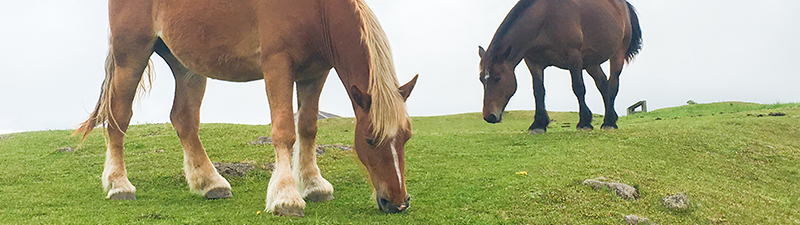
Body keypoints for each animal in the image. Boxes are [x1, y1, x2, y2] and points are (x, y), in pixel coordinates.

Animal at [75, 0, 418, 217]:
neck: (317, 10)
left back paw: (210, 183)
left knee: (184, 119)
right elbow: (284, 131)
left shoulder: (315, 73)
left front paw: (314, 185)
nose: (398, 202)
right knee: (119, 117)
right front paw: (287, 198)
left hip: (185, 65)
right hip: (132, 53)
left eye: (406, 138)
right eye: (371, 140)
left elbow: (308, 128)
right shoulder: (278, 66)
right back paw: (119, 185)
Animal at [478, 0, 640, 134]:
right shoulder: (534, 63)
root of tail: (623, 6)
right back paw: (612, 117)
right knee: (603, 84)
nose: (489, 116)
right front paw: (538, 124)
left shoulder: (574, 58)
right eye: (481, 80)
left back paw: (608, 122)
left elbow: (579, 88)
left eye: (498, 78)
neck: (546, 18)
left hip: (617, 55)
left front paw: (584, 122)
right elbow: (538, 91)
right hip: (591, 63)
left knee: (612, 84)